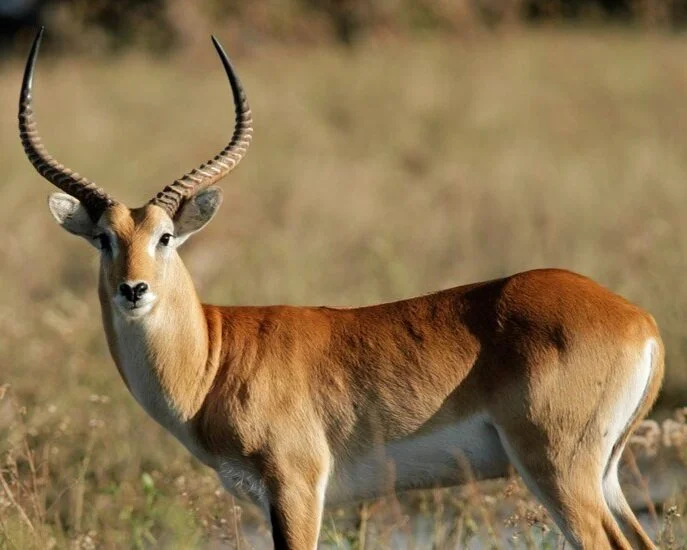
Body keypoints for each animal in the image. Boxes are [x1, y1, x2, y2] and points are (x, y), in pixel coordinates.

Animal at [20, 27, 664, 550]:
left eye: (167, 236)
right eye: (104, 238)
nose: (134, 290)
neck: (213, 358)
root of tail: (640, 321)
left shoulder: (296, 485)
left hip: (557, 467)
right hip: (604, 474)